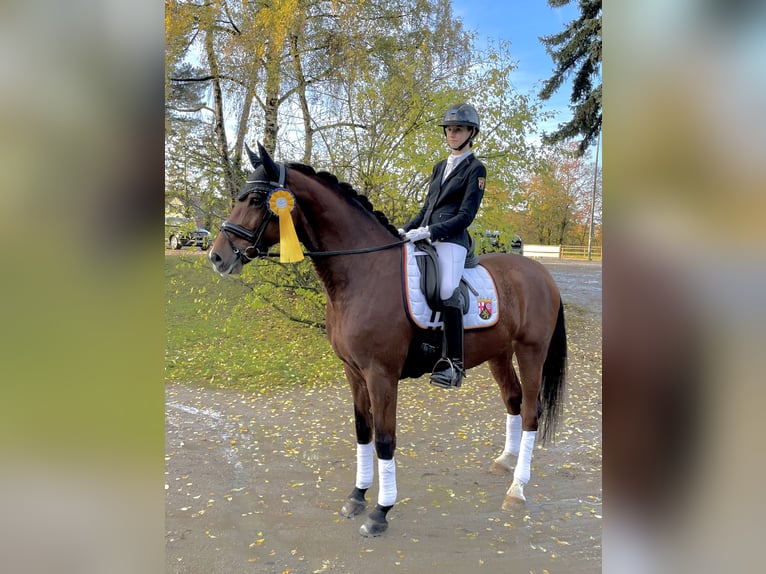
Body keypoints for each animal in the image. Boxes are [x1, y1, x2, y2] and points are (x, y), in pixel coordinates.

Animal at [207, 144, 568, 540]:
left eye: (257, 199)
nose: (217, 257)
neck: (362, 273)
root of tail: (541, 273)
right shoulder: (353, 372)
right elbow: (363, 431)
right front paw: (357, 496)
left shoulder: (381, 374)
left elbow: (384, 439)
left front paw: (380, 511)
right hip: (499, 353)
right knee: (513, 400)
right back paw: (506, 462)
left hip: (531, 351)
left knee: (531, 411)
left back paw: (517, 490)